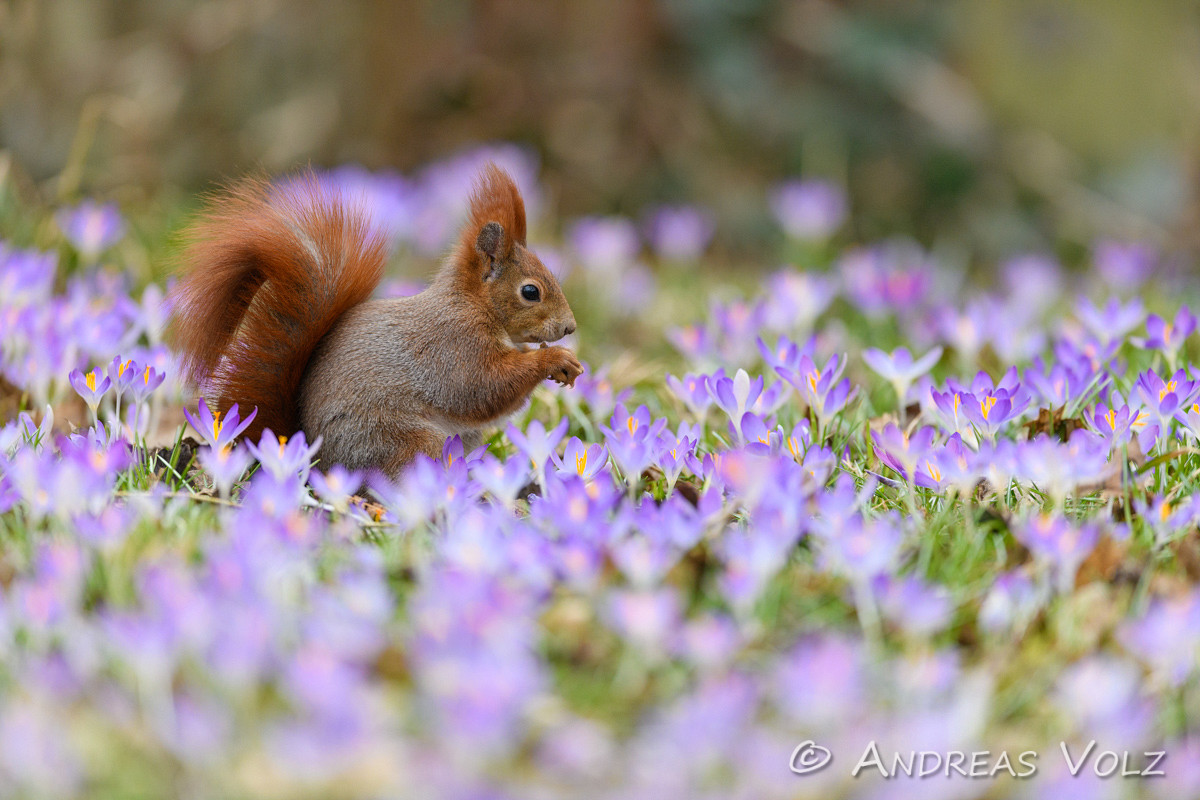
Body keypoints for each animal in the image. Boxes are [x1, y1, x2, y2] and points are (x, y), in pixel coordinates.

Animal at [168, 163, 582, 478]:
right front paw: (554, 360)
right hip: (398, 439)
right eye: (530, 292)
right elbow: (481, 388)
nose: (569, 328)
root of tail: (314, 458)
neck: (473, 305)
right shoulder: (453, 345)